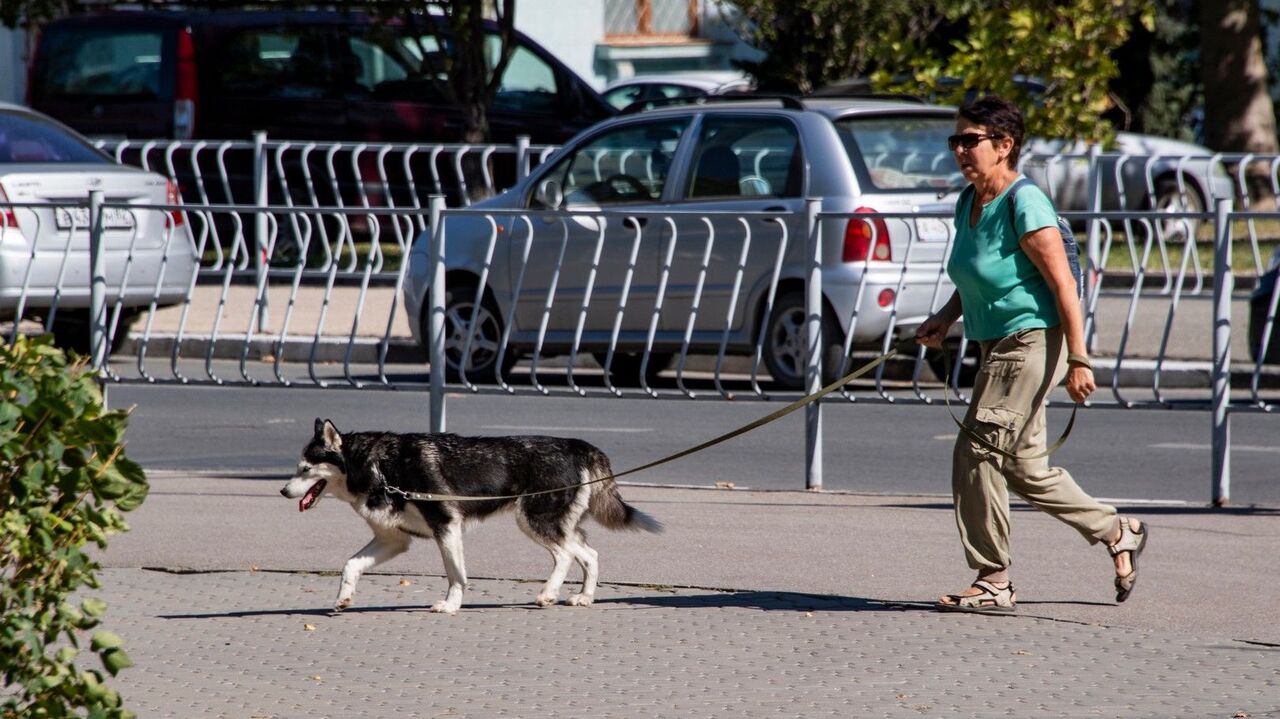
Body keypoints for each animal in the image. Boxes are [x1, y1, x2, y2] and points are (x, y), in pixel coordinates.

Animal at [279, 417, 660, 614]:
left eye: (305, 468)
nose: (283, 491)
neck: (380, 467)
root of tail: (580, 445)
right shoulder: (394, 540)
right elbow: (351, 565)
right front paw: (343, 598)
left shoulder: (446, 528)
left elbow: (455, 574)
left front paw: (451, 604)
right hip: (554, 524)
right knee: (589, 554)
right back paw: (584, 596)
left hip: (534, 521)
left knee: (566, 556)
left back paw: (548, 594)